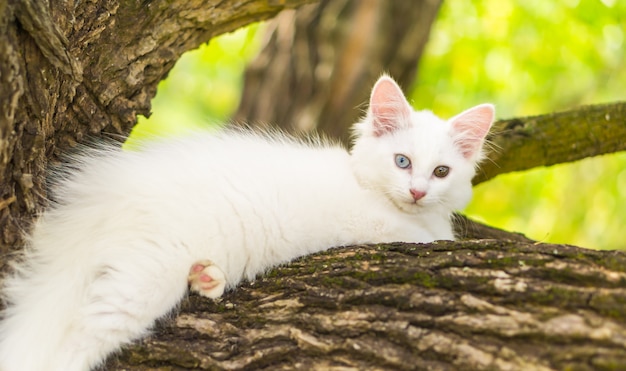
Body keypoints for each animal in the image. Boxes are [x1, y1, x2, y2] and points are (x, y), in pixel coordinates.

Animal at [0, 74, 492, 370]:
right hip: (142, 282)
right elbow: (425, 240)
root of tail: (103, 200)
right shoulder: (384, 229)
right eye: (402, 162)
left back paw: (209, 277)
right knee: (74, 344)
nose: (418, 192)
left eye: (441, 172)